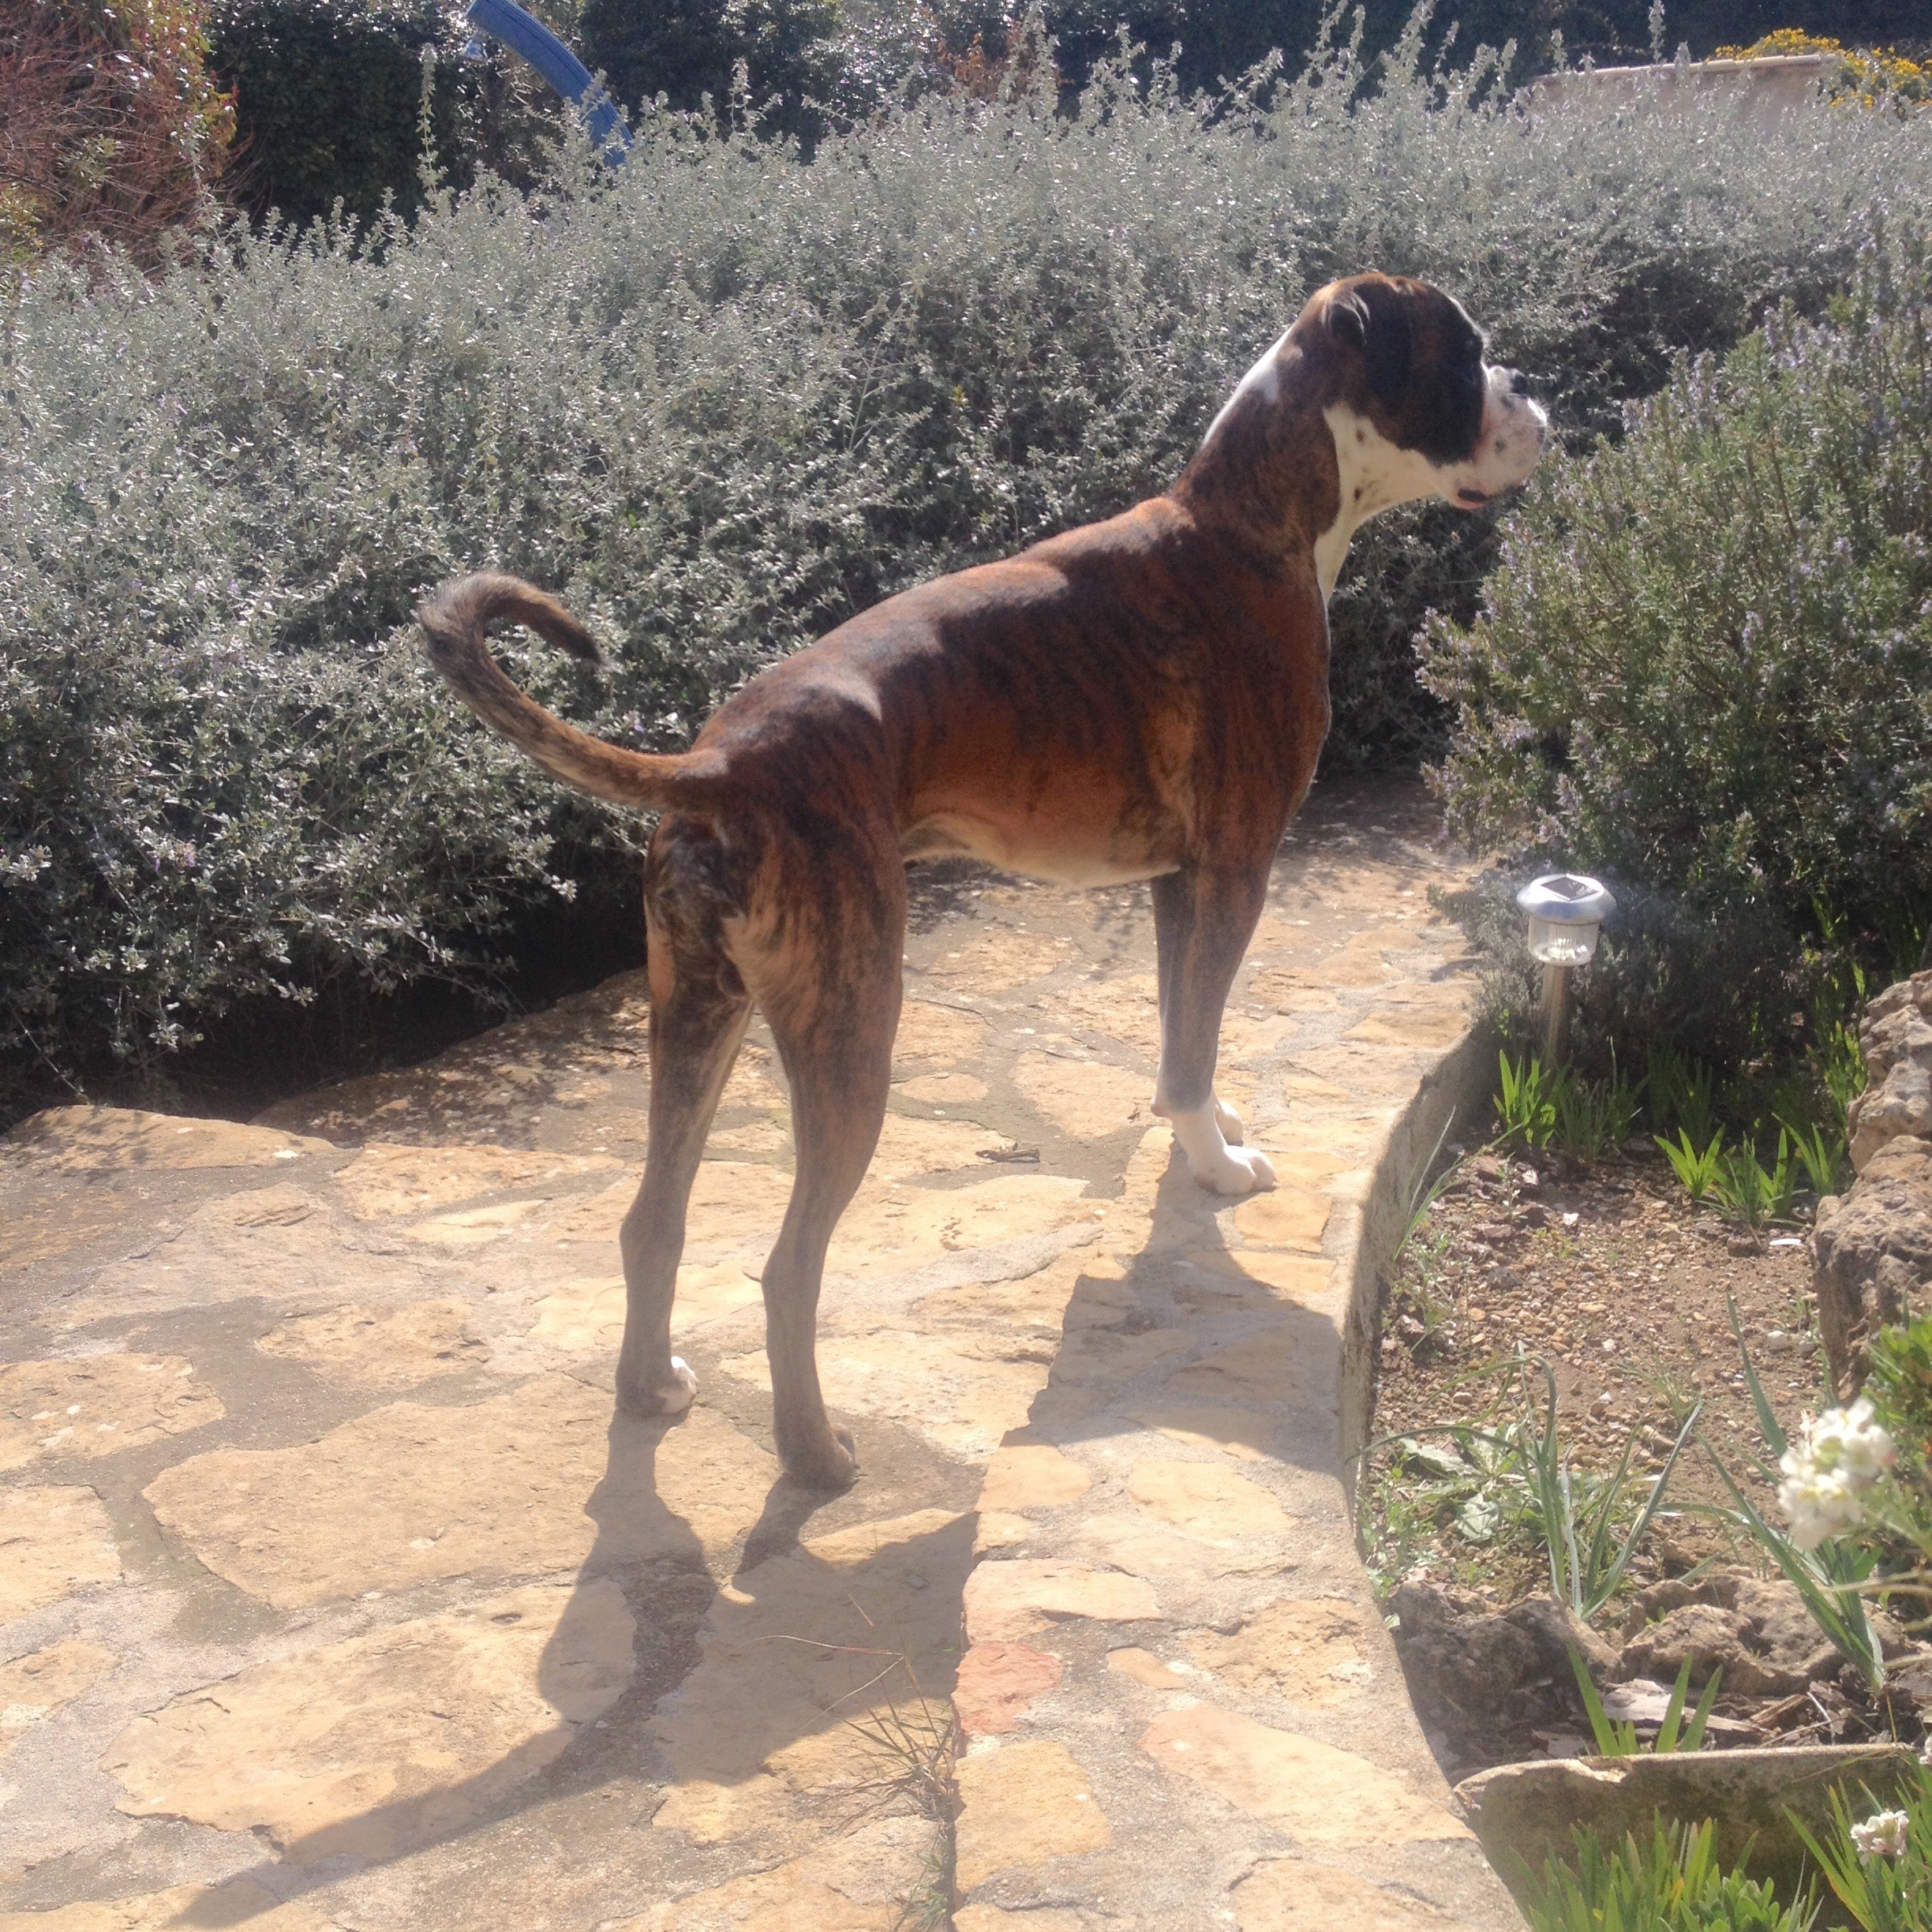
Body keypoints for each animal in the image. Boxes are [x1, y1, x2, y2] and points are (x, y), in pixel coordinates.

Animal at [419, 272, 1546, 1489]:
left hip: (696, 1017)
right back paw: (817, 1458)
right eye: (1463, 355)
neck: (1249, 521)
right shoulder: (1236, 871)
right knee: (787, 1267)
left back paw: (651, 1388)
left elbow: (1178, 1035)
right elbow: (1194, 1044)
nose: (1534, 393)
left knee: (651, 1220)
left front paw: (1199, 1129)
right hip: (850, 1031)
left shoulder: (1175, 883)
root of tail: (722, 762)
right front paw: (1217, 1168)